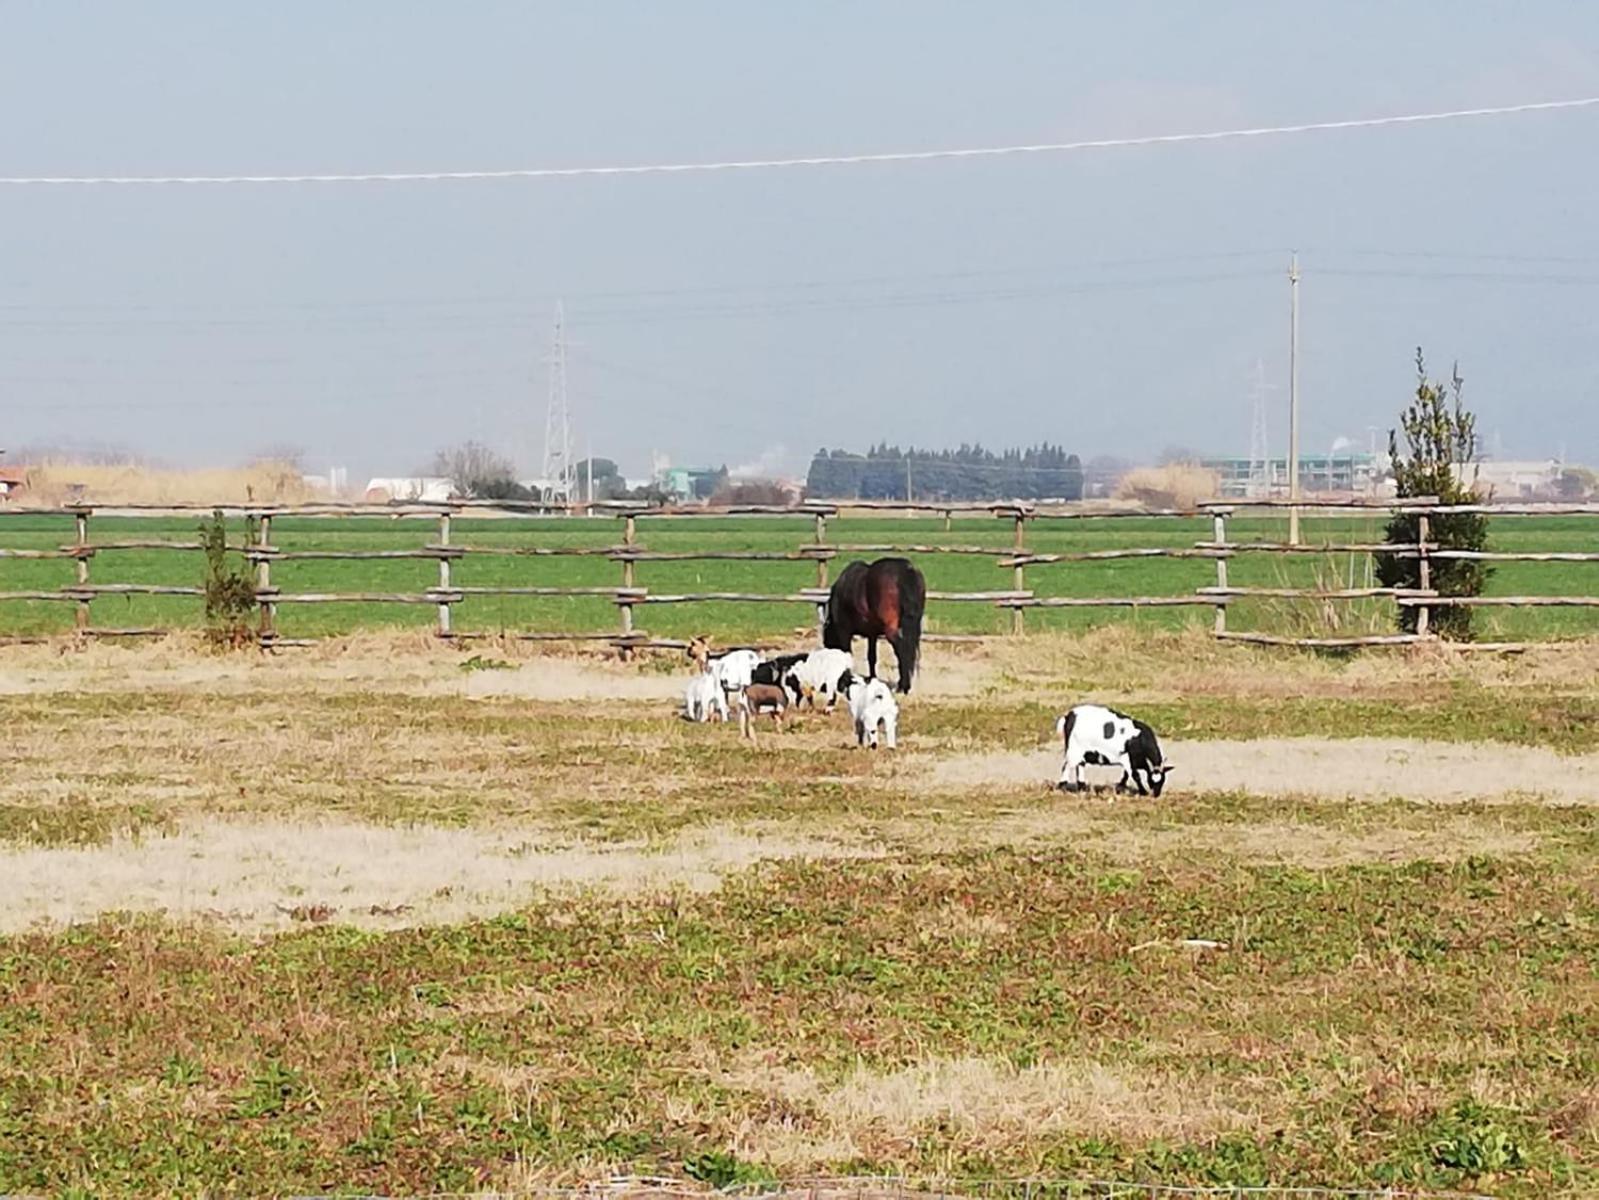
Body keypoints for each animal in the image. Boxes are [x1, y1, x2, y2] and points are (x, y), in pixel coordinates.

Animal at [825, 556, 927, 694]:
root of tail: (906, 570)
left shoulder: (844, 631)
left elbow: (848, 654)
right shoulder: (872, 633)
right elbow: (871, 656)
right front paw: (872, 678)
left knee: (901, 648)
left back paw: (903, 686)